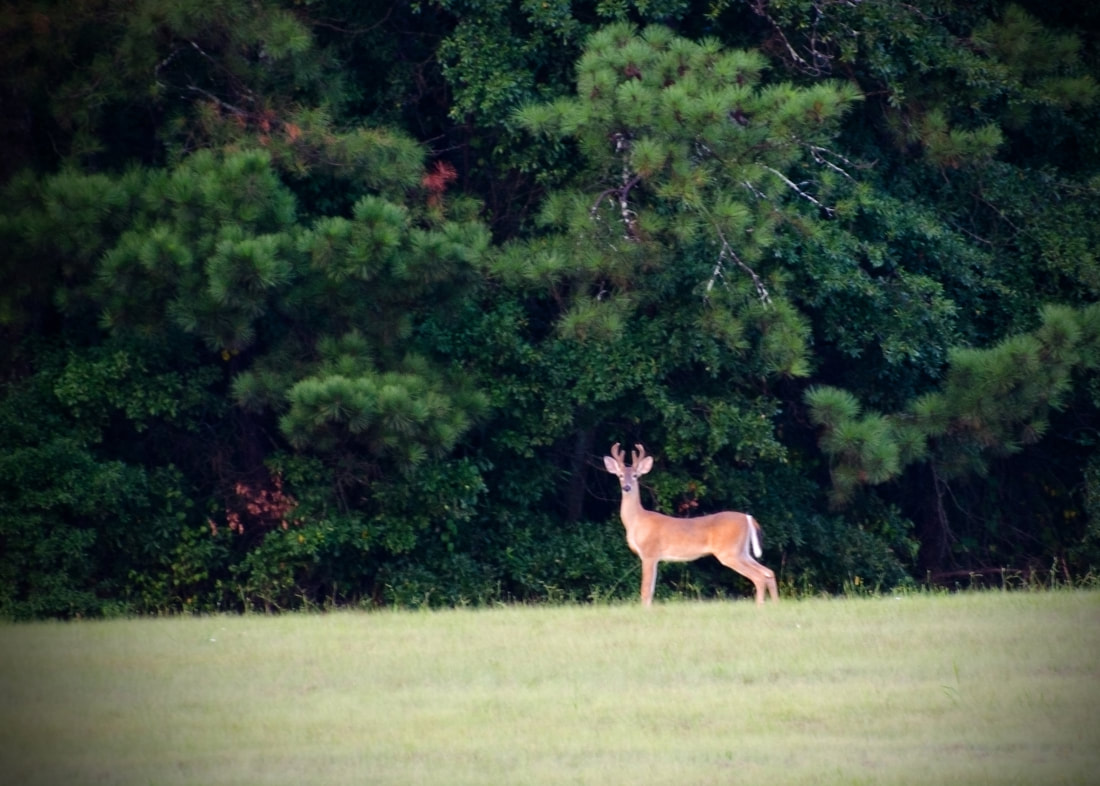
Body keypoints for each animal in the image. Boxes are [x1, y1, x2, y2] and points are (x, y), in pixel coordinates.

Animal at [607, 441, 778, 606]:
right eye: (620, 475)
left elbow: (646, 590)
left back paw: (760, 607)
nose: (626, 487)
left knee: (759, 577)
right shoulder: (653, 557)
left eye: (635, 475)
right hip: (742, 551)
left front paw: (645, 611)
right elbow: (650, 590)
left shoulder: (649, 553)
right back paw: (775, 605)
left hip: (729, 552)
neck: (637, 520)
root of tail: (748, 518)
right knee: (769, 572)